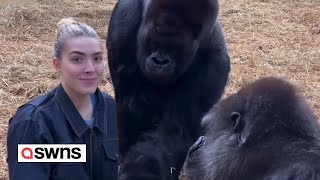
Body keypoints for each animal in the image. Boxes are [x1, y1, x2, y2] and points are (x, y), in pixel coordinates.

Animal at [107, 0, 230, 179]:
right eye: (154, 42)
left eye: (175, 48)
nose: (160, 61)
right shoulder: (123, 25)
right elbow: (129, 104)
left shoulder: (215, 63)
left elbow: (174, 132)